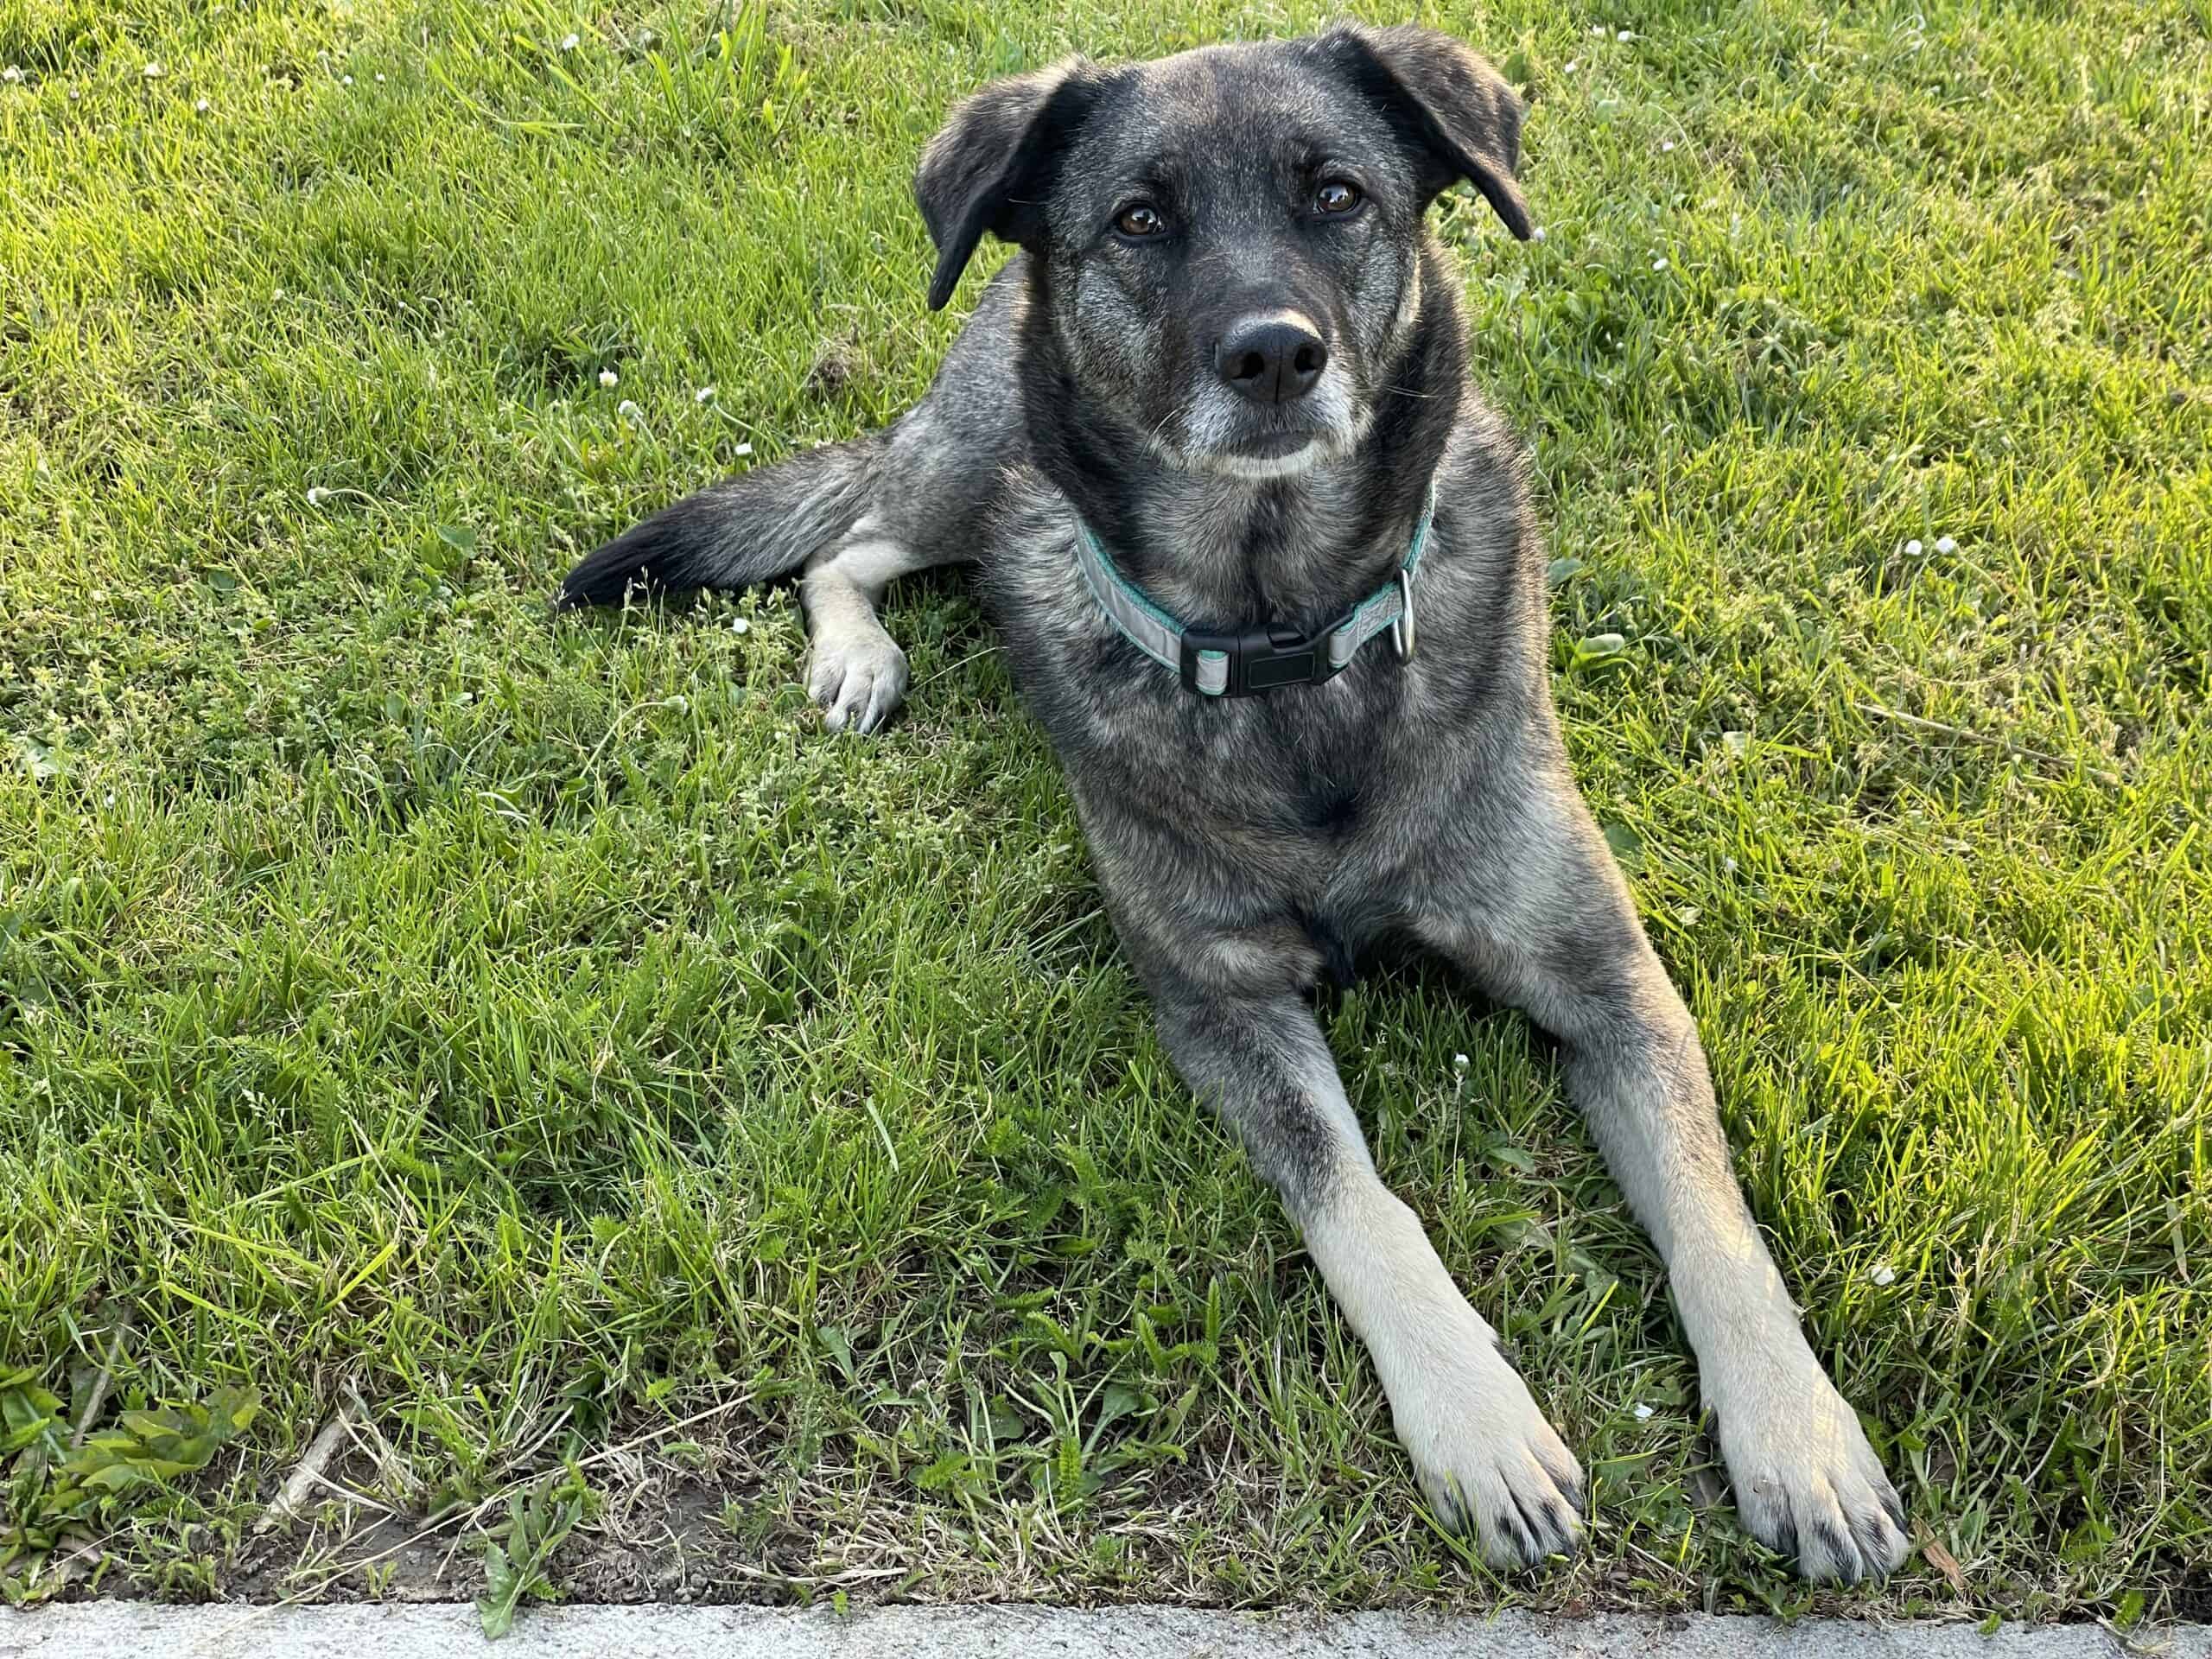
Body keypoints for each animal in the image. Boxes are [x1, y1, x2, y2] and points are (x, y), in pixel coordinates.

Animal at [556, 24, 1909, 1581]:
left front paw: (1799, 1439)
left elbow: (1713, 1213)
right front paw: (1479, 1422)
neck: (1286, 642)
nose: (1272, 354)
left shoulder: (1608, 980)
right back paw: (856, 657)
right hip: (975, 469)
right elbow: (1361, 1204)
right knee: (850, 541)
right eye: (1142, 220)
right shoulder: (1220, 1008)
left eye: (1336, 195)